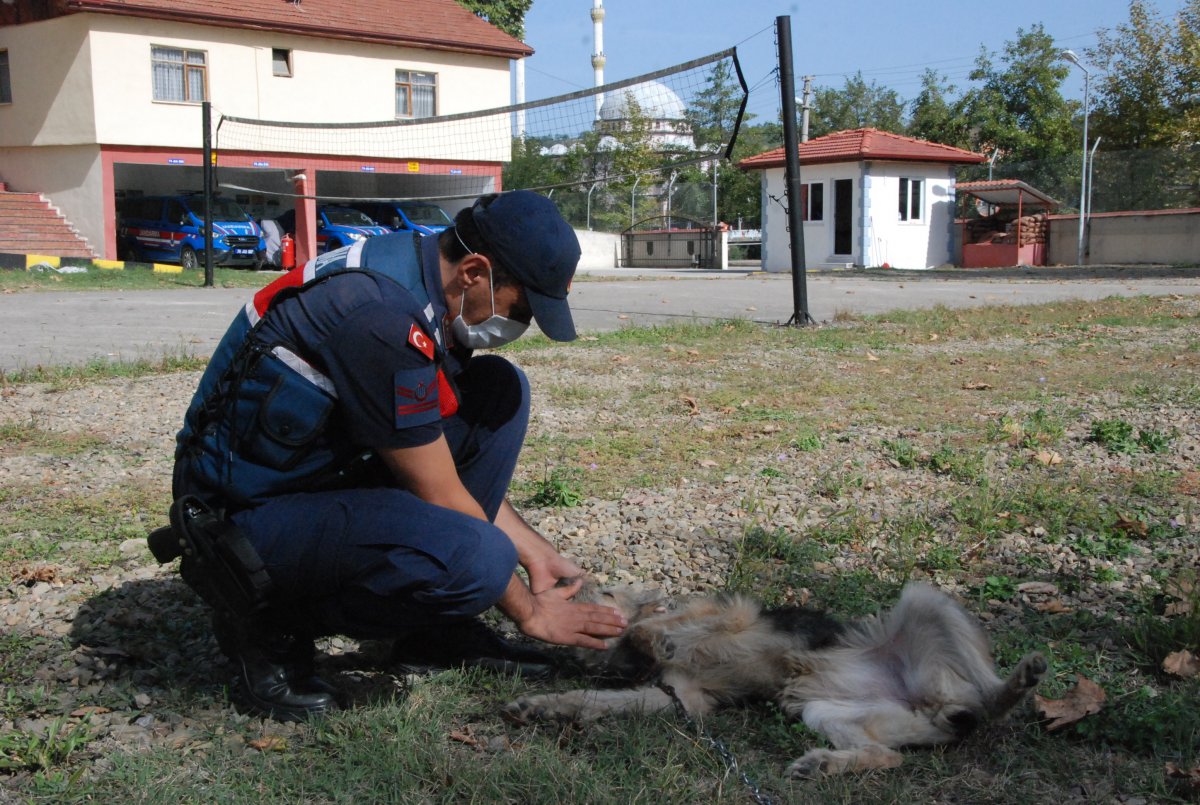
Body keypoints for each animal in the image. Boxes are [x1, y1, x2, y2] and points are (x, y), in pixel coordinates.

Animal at [501, 583, 1046, 777]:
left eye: (606, 592)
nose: (560, 585)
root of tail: (933, 706)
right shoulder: (680, 697)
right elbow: (595, 697)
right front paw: (545, 707)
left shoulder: (728, 616)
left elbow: (649, 628)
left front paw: (654, 637)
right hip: (826, 711)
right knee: (887, 755)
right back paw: (825, 765)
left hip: (923, 601)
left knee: (988, 699)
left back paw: (1015, 685)